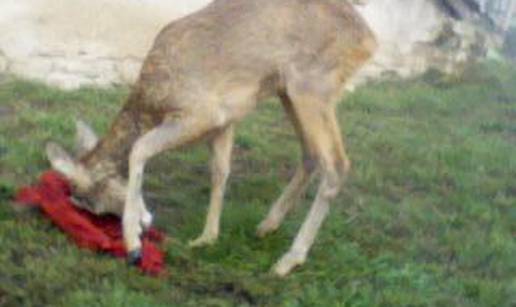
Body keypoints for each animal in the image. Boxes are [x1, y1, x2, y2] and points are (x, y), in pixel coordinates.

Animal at [45, 0, 374, 276]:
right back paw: (267, 225)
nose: (145, 225)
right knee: (311, 153)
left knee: (337, 164)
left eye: (92, 203)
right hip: (289, 91)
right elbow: (220, 171)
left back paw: (288, 260)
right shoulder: (224, 122)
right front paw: (206, 238)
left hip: (313, 85)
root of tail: (368, 40)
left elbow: (139, 148)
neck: (154, 100)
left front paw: (133, 245)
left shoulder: (201, 113)